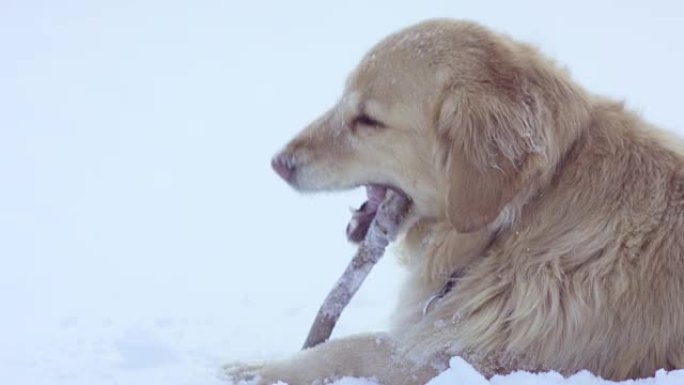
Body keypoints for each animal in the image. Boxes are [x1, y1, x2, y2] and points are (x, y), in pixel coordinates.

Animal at [227, 18, 684, 384]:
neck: (512, 226)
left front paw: (256, 370)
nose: (279, 162)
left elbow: (351, 347)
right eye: (341, 100)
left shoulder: (464, 359)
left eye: (368, 119)